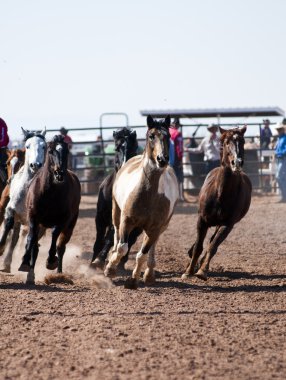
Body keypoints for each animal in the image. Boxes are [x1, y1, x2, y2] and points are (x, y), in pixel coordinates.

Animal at [0, 127, 46, 280]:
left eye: (44, 146)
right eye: (27, 146)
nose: (35, 165)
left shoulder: (38, 222)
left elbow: (33, 244)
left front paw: (30, 273)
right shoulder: (10, 210)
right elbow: (7, 226)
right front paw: (1, 248)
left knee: (32, 243)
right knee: (14, 238)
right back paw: (6, 264)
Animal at [18, 135, 80, 284]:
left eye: (66, 151)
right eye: (51, 151)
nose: (59, 173)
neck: (50, 193)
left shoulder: (63, 220)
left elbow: (55, 236)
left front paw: (51, 261)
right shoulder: (33, 217)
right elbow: (31, 239)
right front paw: (25, 263)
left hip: (70, 225)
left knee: (61, 246)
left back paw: (59, 272)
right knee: (35, 245)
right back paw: (30, 274)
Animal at [91, 127, 141, 268]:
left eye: (134, 148)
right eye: (116, 148)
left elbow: (111, 239)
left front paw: (100, 259)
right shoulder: (100, 217)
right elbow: (99, 241)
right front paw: (93, 261)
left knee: (129, 241)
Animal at [103, 115, 179, 288]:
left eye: (168, 136)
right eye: (151, 136)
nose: (162, 159)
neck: (148, 193)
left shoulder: (155, 227)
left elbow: (142, 254)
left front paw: (133, 280)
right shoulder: (127, 220)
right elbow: (122, 248)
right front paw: (110, 268)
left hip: (160, 227)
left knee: (151, 245)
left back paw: (149, 273)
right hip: (116, 212)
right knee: (116, 234)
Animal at [182, 126, 251, 280]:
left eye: (243, 141)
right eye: (226, 142)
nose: (237, 162)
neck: (221, 193)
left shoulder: (227, 224)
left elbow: (212, 246)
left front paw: (202, 271)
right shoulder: (201, 220)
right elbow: (198, 246)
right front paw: (188, 271)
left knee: (211, 242)